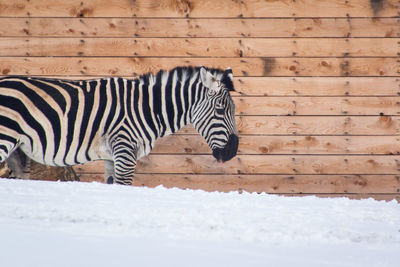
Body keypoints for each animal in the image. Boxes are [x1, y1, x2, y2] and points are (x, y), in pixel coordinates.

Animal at [0, 66, 238, 186]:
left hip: (16, 151)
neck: (146, 108)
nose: (233, 151)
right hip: (4, 138)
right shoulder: (125, 152)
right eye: (220, 111)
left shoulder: (111, 158)